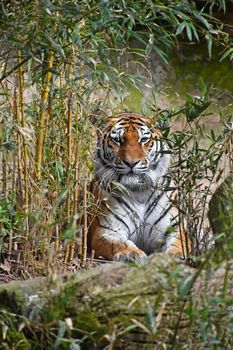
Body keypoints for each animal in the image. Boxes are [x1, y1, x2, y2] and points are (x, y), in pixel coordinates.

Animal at [88, 110, 187, 262]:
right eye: (117, 140)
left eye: (144, 140)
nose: (131, 162)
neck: (138, 191)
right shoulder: (108, 229)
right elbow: (119, 243)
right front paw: (131, 253)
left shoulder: (172, 227)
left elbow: (179, 242)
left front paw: (176, 256)